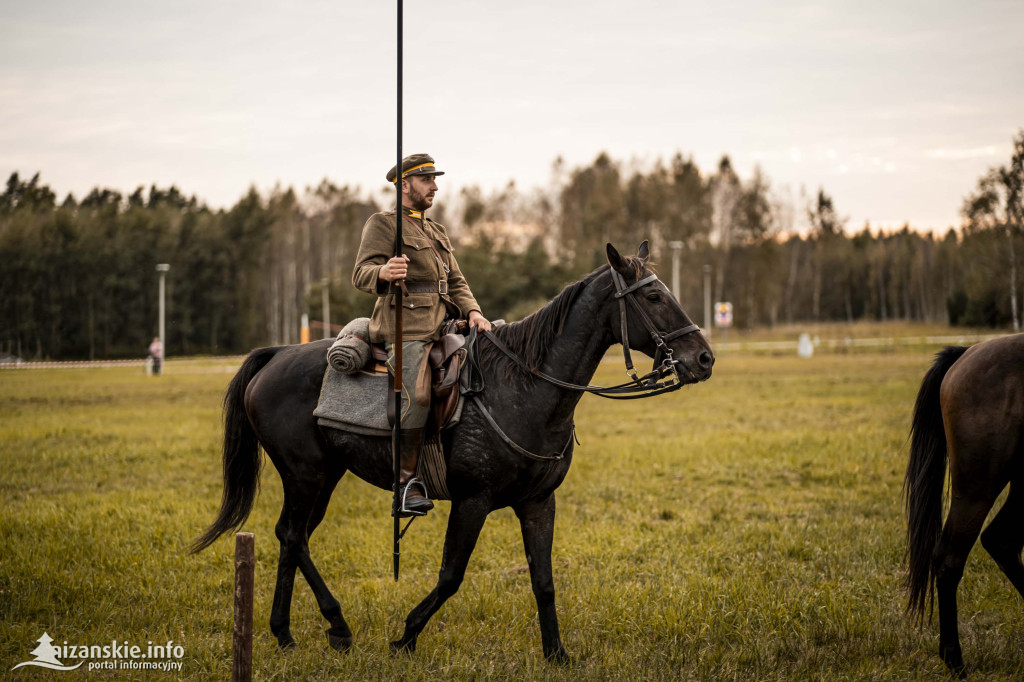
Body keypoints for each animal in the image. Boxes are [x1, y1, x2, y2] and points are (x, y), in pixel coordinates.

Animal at [195, 240, 716, 659]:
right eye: (654, 296)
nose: (704, 358)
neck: (522, 386)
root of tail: (278, 353)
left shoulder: (538, 502)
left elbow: (544, 581)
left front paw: (557, 654)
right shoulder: (472, 501)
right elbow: (451, 576)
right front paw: (405, 637)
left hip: (322, 479)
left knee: (291, 537)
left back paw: (285, 634)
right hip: (307, 474)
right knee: (293, 536)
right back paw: (336, 624)